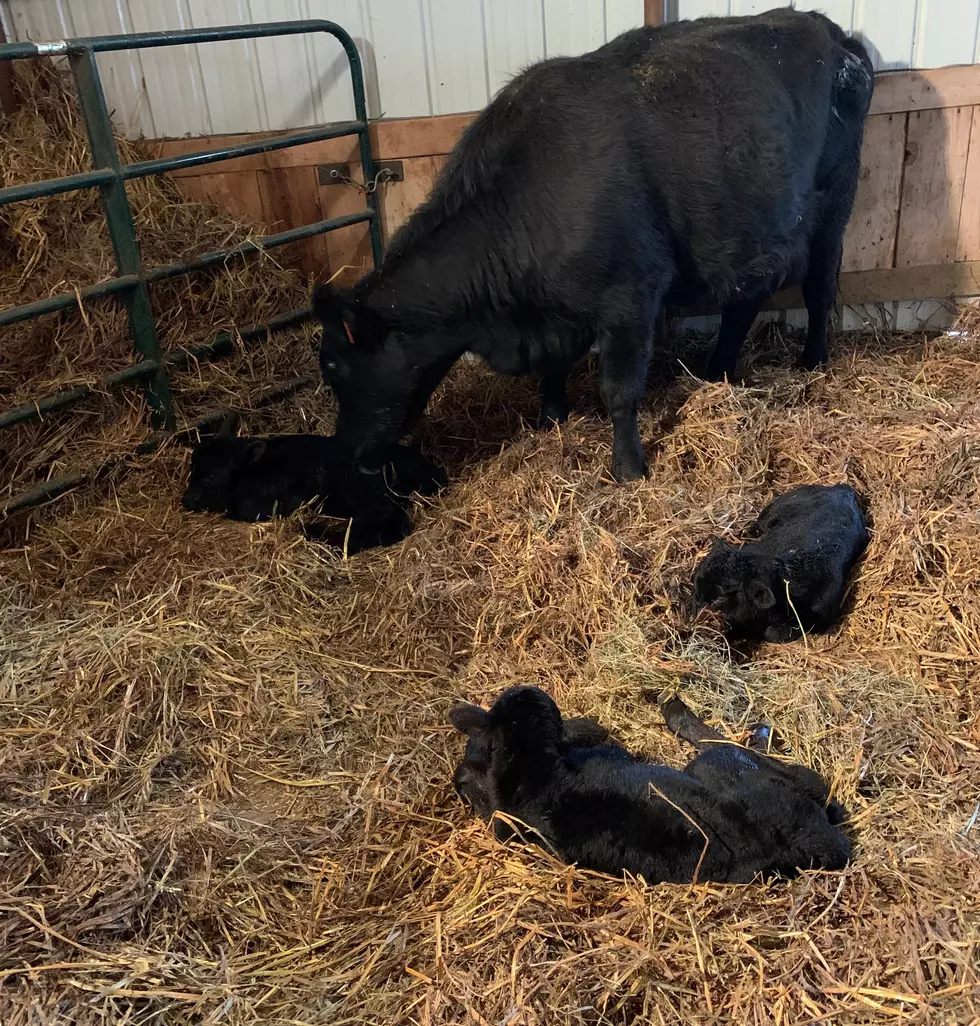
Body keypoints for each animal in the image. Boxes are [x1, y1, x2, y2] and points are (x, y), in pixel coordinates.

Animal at [314, 9, 874, 481]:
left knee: (820, 288)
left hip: (835, 205)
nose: (345, 454)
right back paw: (716, 372)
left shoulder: (630, 297)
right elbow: (555, 368)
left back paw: (812, 361)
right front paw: (550, 416)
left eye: (335, 369)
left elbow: (618, 390)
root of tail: (829, 29)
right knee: (744, 301)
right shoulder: (558, 315)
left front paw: (628, 468)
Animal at [693, 483, 869, 642]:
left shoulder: (820, 616)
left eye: (719, 599)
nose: (697, 602)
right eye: (696, 579)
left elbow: (772, 633)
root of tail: (843, 488)